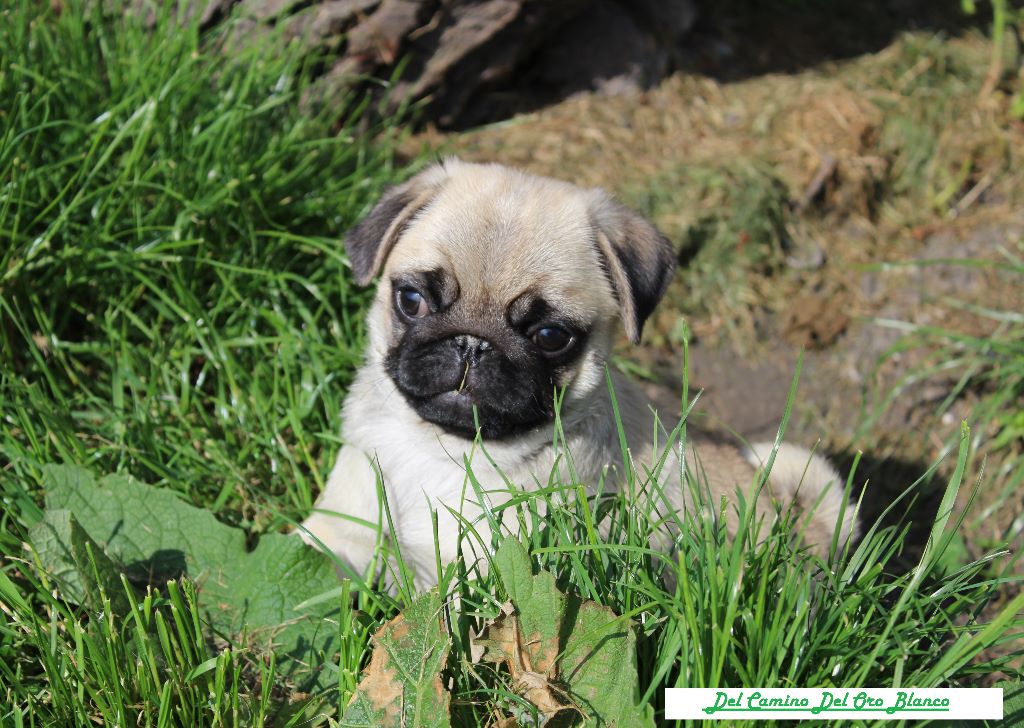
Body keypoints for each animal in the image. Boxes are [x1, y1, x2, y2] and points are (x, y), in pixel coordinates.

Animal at [299, 157, 860, 585]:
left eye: (551, 336)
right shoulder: (335, 533)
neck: (446, 452)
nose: (472, 344)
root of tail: (807, 533)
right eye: (412, 300)